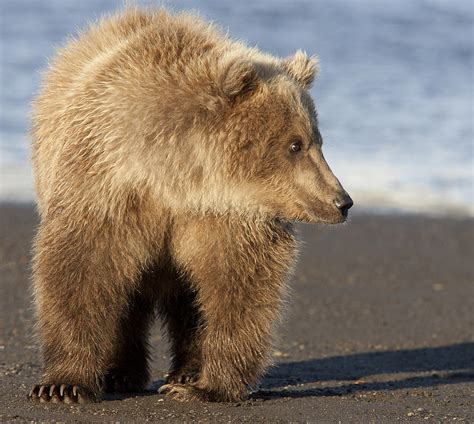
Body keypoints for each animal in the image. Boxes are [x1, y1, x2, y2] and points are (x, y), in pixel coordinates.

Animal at [26, 7, 352, 404]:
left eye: (318, 140)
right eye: (295, 144)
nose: (342, 201)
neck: (178, 178)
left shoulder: (226, 216)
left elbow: (239, 288)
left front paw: (206, 386)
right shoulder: (105, 184)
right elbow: (81, 268)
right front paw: (62, 384)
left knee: (189, 298)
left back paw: (184, 372)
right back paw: (119, 373)